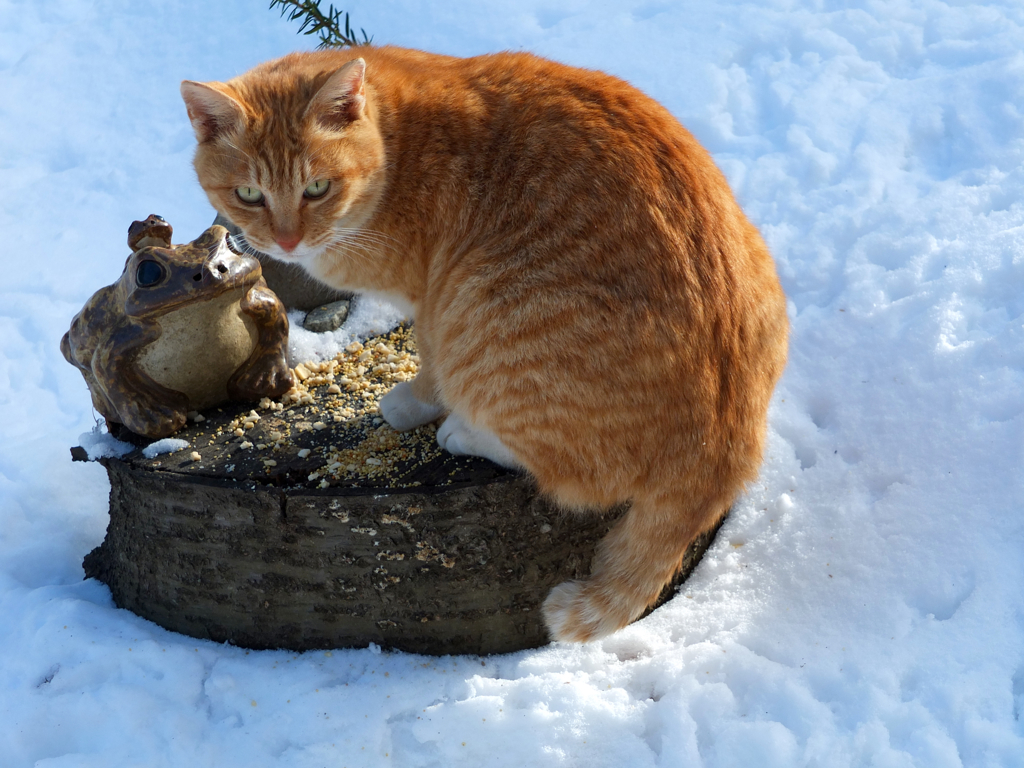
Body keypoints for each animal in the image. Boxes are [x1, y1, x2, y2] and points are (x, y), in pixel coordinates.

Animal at [182, 45, 790, 638]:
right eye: (248, 194)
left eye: (316, 187)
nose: (286, 241)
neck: (396, 148)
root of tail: (724, 455)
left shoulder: (433, 302)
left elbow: (431, 369)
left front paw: (412, 403)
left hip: (487, 319)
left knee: (573, 477)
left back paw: (464, 431)